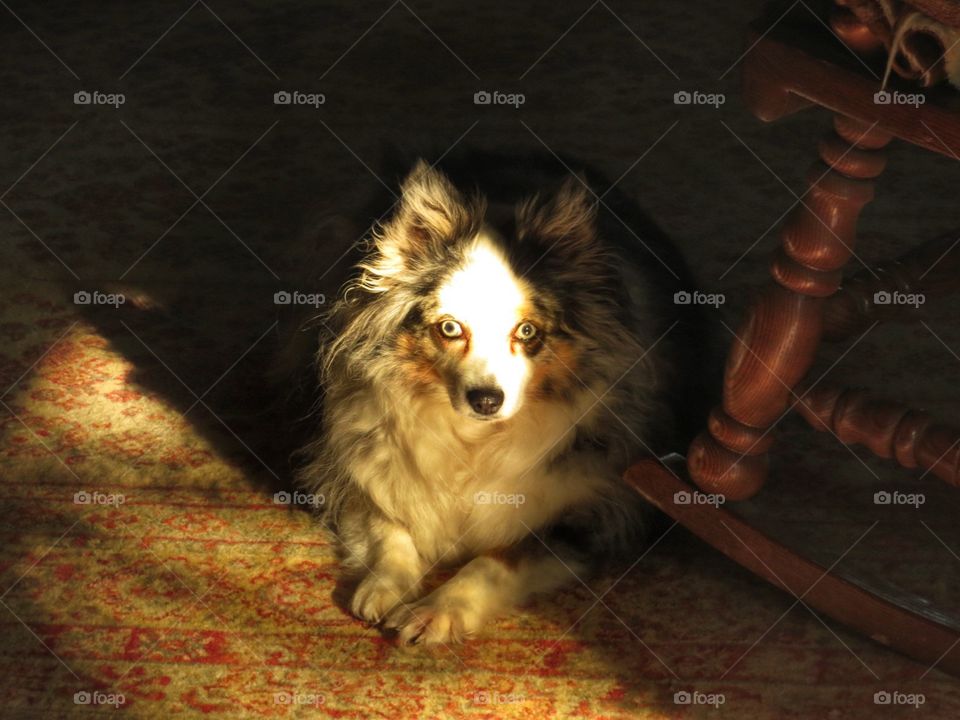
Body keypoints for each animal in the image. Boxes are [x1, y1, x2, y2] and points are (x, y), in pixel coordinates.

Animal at [296, 152, 708, 648]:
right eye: (449, 328)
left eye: (527, 331)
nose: (487, 400)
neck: (474, 440)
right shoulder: (354, 471)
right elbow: (388, 522)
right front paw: (386, 585)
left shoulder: (592, 517)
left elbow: (496, 561)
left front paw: (435, 611)